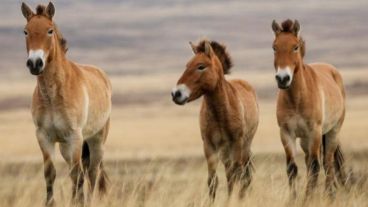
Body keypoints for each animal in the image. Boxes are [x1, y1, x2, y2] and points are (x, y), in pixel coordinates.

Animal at [20, 2, 110, 206]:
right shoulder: (44, 136)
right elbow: (50, 173)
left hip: (96, 140)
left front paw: (77, 202)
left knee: (92, 173)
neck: (53, 96)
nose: (35, 63)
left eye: (50, 31)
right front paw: (50, 203)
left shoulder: (74, 137)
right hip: (65, 147)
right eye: (26, 31)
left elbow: (77, 176)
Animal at [172, 39, 258, 200]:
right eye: (187, 65)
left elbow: (236, 176)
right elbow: (212, 181)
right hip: (225, 152)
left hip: (244, 146)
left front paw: (232, 201)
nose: (176, 94)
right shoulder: (209, 146)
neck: (220, 114)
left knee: (243, 175)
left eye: (201, 66)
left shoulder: (236, 144)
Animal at [272, 19, 350, 199]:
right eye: (274, 47)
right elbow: (292, 168)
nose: (283, 79)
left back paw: (330, 195)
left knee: (327, 163)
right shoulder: (286, 133)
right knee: (309, 162)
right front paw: (293, 199)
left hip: (331, 132)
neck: (297, 99)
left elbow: (316, 167)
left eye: (295, 47)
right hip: (305, 140)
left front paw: (308, 199)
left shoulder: (314, 131)